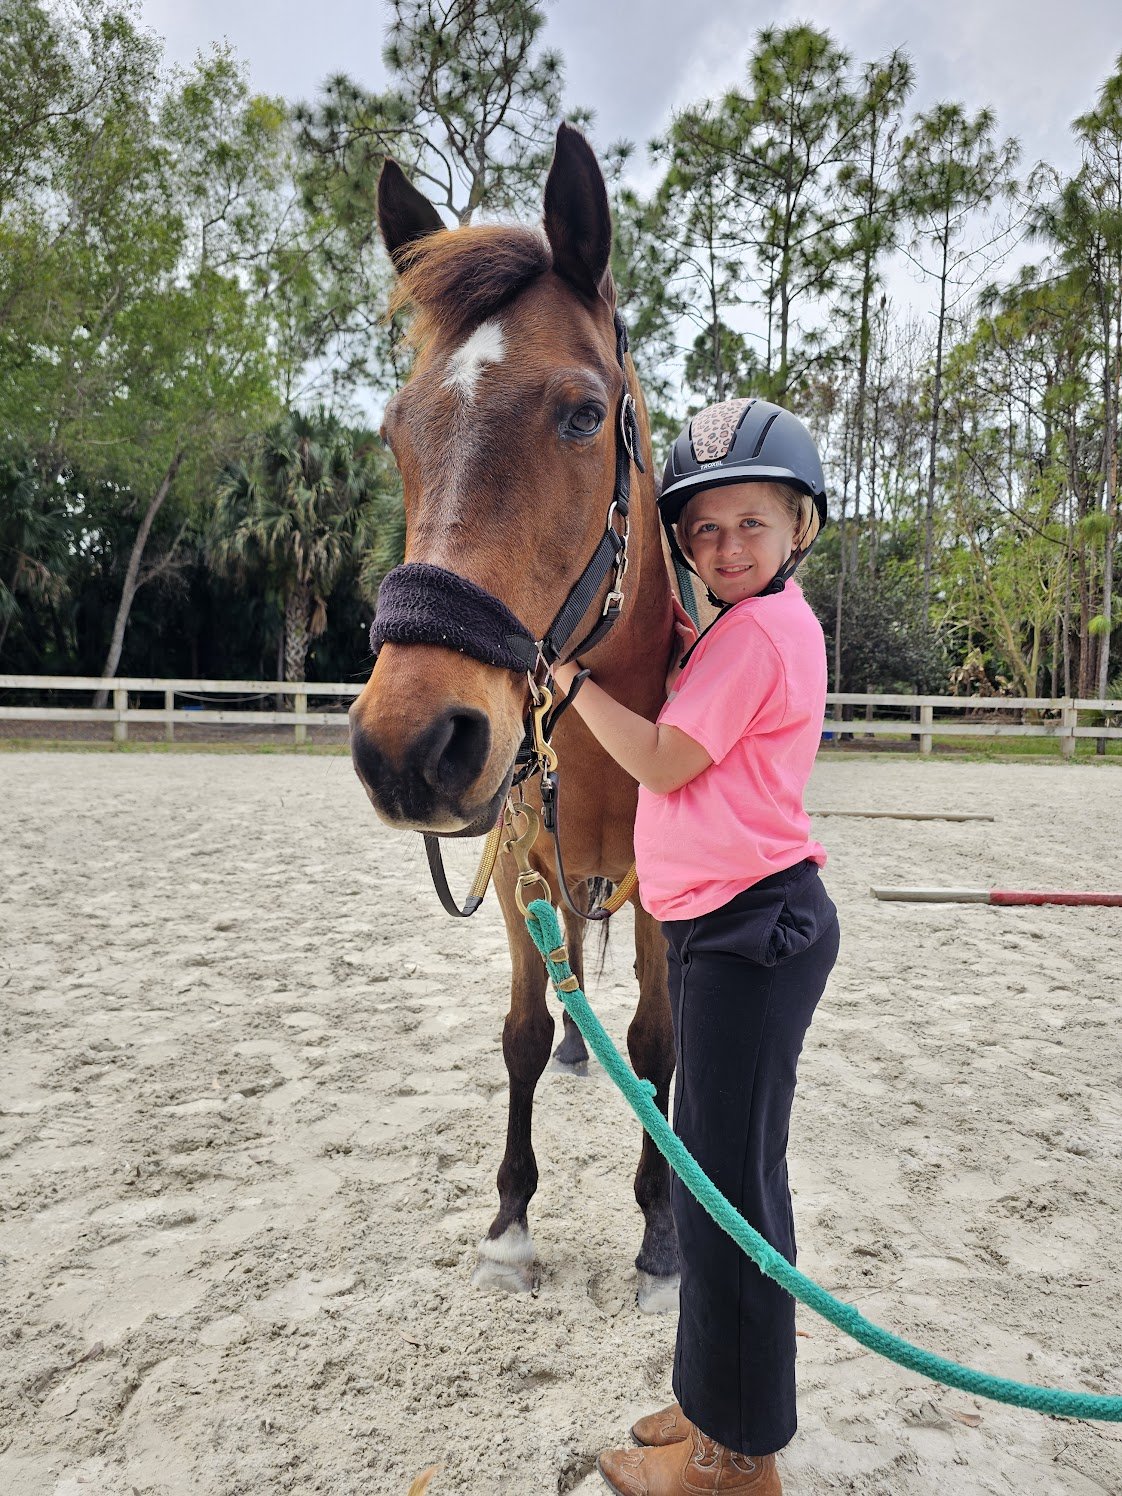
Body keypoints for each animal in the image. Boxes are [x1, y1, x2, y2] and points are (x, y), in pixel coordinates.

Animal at [349, 122, 681, 1313]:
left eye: (584, 413)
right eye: (397, 432)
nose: (408, 746)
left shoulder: (664, 889)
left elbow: (658, 1043)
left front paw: (661, 1233)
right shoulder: (520, 867)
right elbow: (526, 1032)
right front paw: (510, 1223)